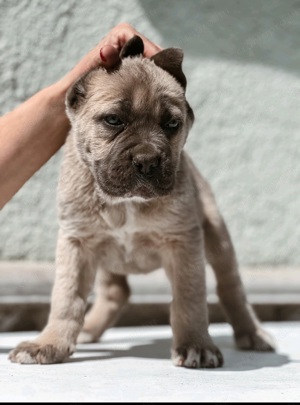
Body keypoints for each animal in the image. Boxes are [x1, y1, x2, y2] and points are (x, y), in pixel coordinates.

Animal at [8, 37, 274, 366]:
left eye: (171, 124)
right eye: (113, 120)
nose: (147, 161)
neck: (126, 203)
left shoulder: (183, 242)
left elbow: (189, 297)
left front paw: (196, 344)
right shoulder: (77, 242)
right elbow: (66, 297)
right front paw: (50, 342)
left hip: (217, 236)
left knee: (230, 286)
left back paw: (253, 333)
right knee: (116, 291)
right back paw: (88, 329)